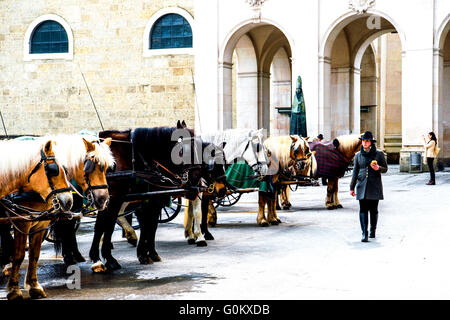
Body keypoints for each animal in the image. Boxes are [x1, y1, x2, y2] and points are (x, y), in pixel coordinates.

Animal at [1, 136, 113, 300]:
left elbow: (34, 254)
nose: (103, 199)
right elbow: (19, 255)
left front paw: (34, 286)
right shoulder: (22, 222)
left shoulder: (41, 223)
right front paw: (14, 290)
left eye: (106, 168)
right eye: (89, 167)